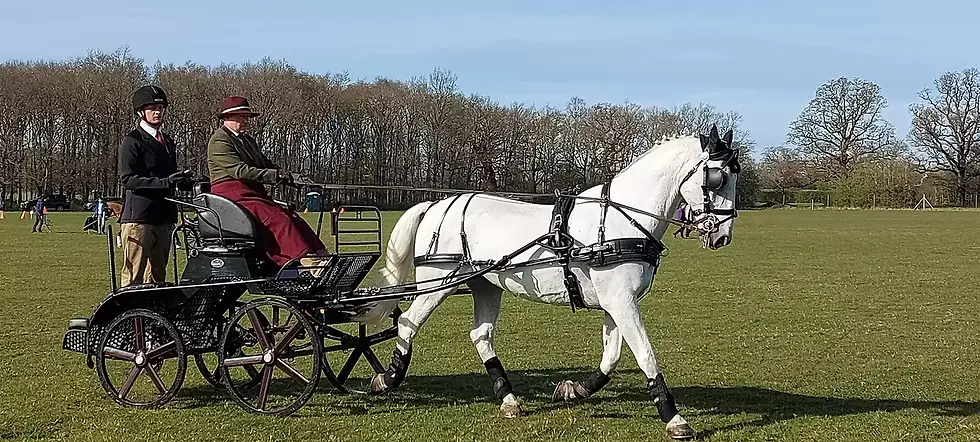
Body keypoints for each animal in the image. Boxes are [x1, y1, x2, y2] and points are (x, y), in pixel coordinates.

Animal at [369, 124, 740, 440]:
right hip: (439, 281)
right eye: (717, 177)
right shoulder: (621, 301)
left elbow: (612, 356)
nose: (722, 236)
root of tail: (437, 204)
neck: (621, 221)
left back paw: (509, 399)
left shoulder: (617, 302)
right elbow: (645, 354)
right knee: (408, 322)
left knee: (481, 335)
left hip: (485, 285)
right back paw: (387, 378)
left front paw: (574, 389)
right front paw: (674, 418)